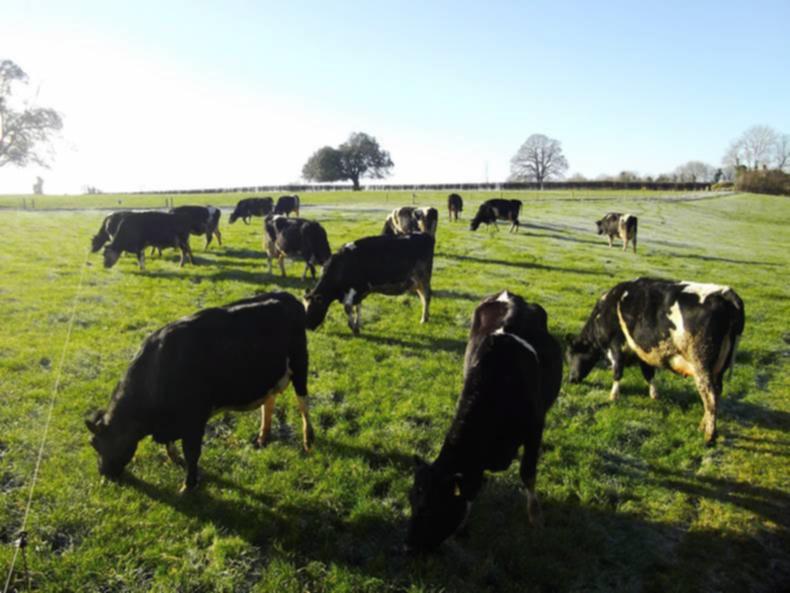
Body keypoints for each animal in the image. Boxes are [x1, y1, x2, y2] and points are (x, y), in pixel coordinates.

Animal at [85, 292, 315, 492]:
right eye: (93, 444)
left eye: (102, 443)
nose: (104, 473)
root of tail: (286, 296)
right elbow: (171, 445)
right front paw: (174, 460)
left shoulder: (194, 420)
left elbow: (192, 453)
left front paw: (187, 486)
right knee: (269, 401)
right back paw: (262, 438)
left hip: (300, 364)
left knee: (303, 403)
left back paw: (308, 441)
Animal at [304, 233, 434, 335]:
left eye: (312, 308)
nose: (307, 327)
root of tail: (425, 235)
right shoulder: (358, 291)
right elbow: (357, 307)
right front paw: (357, 325)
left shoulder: (355, 288)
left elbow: (348, 307)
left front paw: (353, 328)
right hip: (416, 282)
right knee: (423, 297)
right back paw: (426, 317)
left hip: (423, 277)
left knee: (427, 297)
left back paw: (423, 319)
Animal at [405, 291, 563, 553]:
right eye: (410, 500)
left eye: (432, 508)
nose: (408, 548)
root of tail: (508, 294)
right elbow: (473, 488)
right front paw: (462, 528)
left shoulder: (535, 428)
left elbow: (527, 473)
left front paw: (536, 517)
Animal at [567, 277, 745, 445]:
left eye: (571, 356)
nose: (571, 379)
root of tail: (725, 294)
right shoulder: (644, 352)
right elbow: (649, 374)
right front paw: (654, 395)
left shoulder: (616, 346)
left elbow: (617, 372)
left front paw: (613, 396)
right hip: (719, 368)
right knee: (716, 393)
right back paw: (703, 425)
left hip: (702, 364)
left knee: (709, 396)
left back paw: (709, 436)